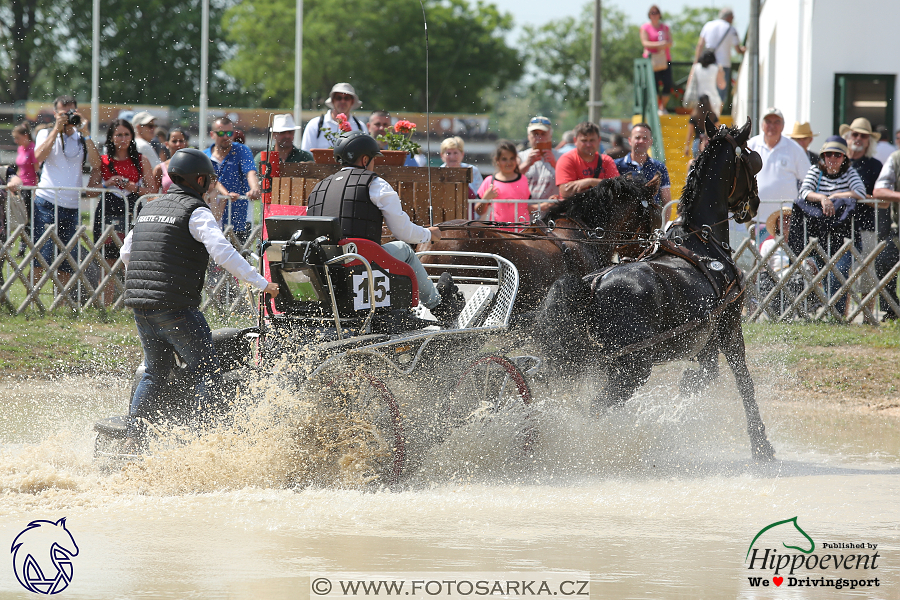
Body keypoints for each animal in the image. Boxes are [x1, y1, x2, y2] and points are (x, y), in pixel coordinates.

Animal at [532, 117, 776, 460]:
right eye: (753, 162)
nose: (753, 204)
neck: (701, 241)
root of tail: (591, 284)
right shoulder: (729, 325)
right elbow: (743, 381)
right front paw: (760, 443)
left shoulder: (704, 338)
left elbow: (701, 379)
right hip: (630, 369)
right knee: (592, 411)